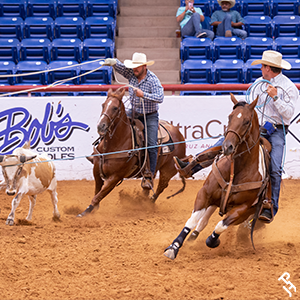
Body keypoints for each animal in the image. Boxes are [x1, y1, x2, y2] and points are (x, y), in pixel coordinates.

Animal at [77, 88, 185, 217]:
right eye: (103, 105)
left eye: (115, 108)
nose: (101, 126)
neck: (114, 144)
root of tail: (179, 133)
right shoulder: (97, 172)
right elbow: (97, 192)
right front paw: (91, 210)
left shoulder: (115, 177)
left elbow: (99, 195)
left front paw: (85, 212)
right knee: (148, 185)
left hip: (168, 169)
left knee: (161, 186)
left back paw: (148, 204)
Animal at [164, 94, 272, 260]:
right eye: (230, 117)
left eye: (247, 121)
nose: (227, 147)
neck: (237, 169)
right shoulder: (205, 193)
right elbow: (193, 220)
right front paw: (174, 247)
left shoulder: (244, 208)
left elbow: (221, 225)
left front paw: (213, 241)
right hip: (215, 200)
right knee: (203, 220)